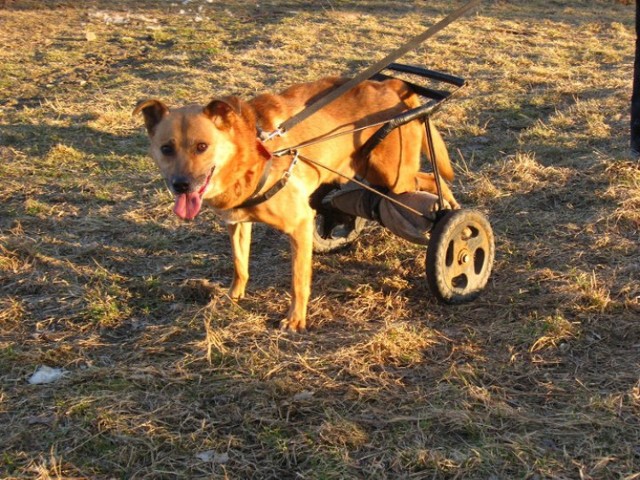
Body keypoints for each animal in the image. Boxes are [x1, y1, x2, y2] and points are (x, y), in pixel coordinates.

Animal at [135, 77, 458, 332]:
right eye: (166, 149)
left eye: (202, 146)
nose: (181, 185)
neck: (252, 152)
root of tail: (390, 84)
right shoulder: (238, 224)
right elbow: (240, 265)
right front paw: (233, 297)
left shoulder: (300, 225)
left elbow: (298, 280)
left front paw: (295, 319)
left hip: (394, 176)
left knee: (432, 179)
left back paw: (452, 215)